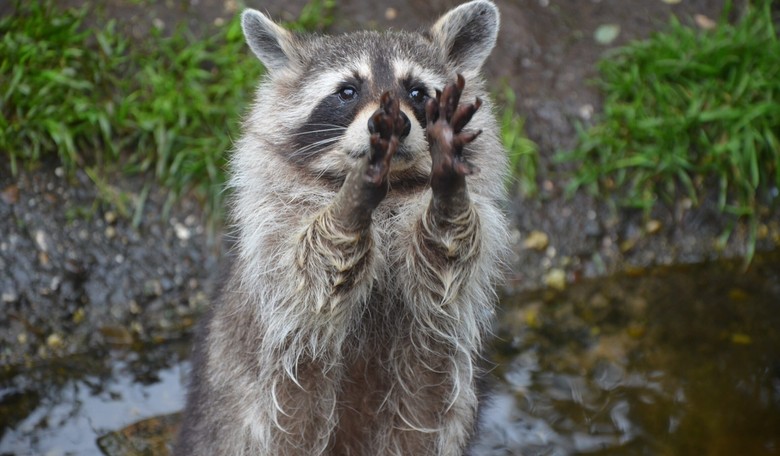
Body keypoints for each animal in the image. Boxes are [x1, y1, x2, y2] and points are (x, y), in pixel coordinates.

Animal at [176, 1, 509, 454]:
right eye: (347, 91)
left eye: (417, 92)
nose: (394, 125)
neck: (391, 190)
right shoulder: (276, 227)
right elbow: (311, 273)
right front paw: (351, 200)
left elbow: (445, 262)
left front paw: (448, 193)